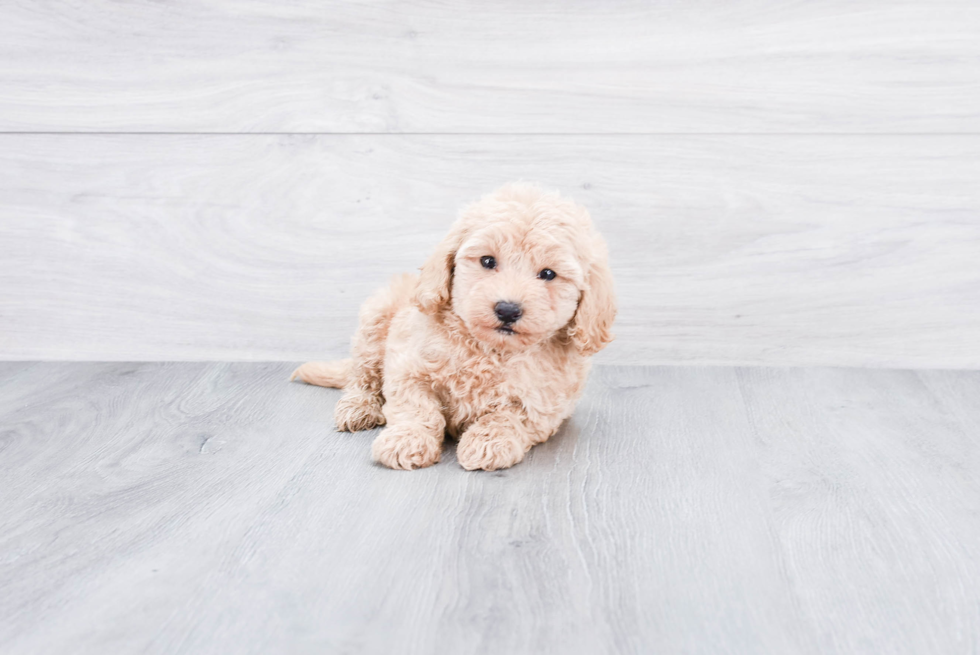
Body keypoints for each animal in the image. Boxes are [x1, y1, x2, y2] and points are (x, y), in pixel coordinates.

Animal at [290, 184, 616, 472]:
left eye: (548, 274)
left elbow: (507, 417)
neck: (490, 350)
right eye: (488, 261)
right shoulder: (407, 367)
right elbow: (417, 408)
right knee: (362, 377)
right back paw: (359, 407)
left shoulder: (542, 403)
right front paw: (407, 440)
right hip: (375, 321)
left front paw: (487, 443)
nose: (508, 309)